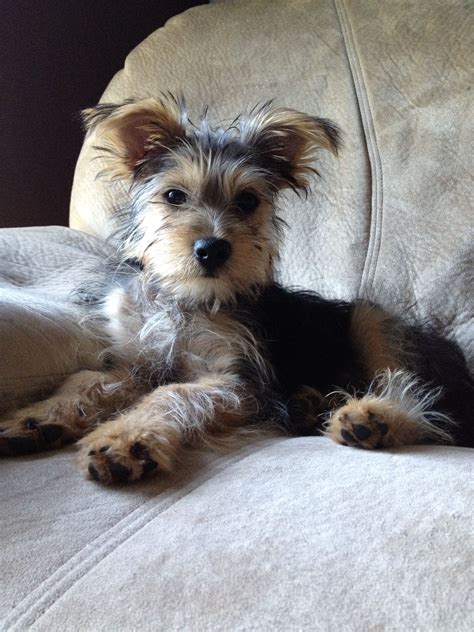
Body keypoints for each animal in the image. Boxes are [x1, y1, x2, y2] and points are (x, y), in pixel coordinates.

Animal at [0, 95, 474, 484]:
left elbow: (172, 394)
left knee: (430, 405)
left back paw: (372, 418)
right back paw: (309, 405)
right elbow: (87, 378)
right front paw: (38, 418)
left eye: (248, 201)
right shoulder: (137, 362)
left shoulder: (239, 381)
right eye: (174, 196)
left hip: (372, 323)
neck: (185, 299)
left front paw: (126, 439)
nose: (212, 248)